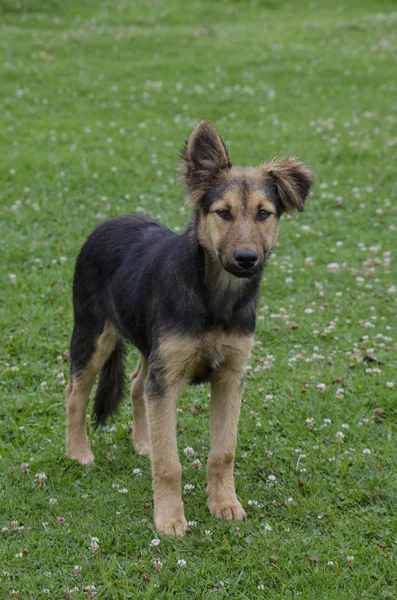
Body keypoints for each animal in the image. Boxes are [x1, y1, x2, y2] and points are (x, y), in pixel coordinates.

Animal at [65, 119, 312, 536]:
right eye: (223, 213)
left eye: (263, 214)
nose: (247, 259)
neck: (215, 298)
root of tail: (110, 220)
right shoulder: (167, 380)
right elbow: (169, 464)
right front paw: (169, 517)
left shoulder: (229, 376)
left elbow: (223, 452)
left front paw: (224, 503)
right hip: (92, 334)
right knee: (75, 394)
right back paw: (78, 452)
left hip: (150, 348)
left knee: (136, 384)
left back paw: (144, 441)